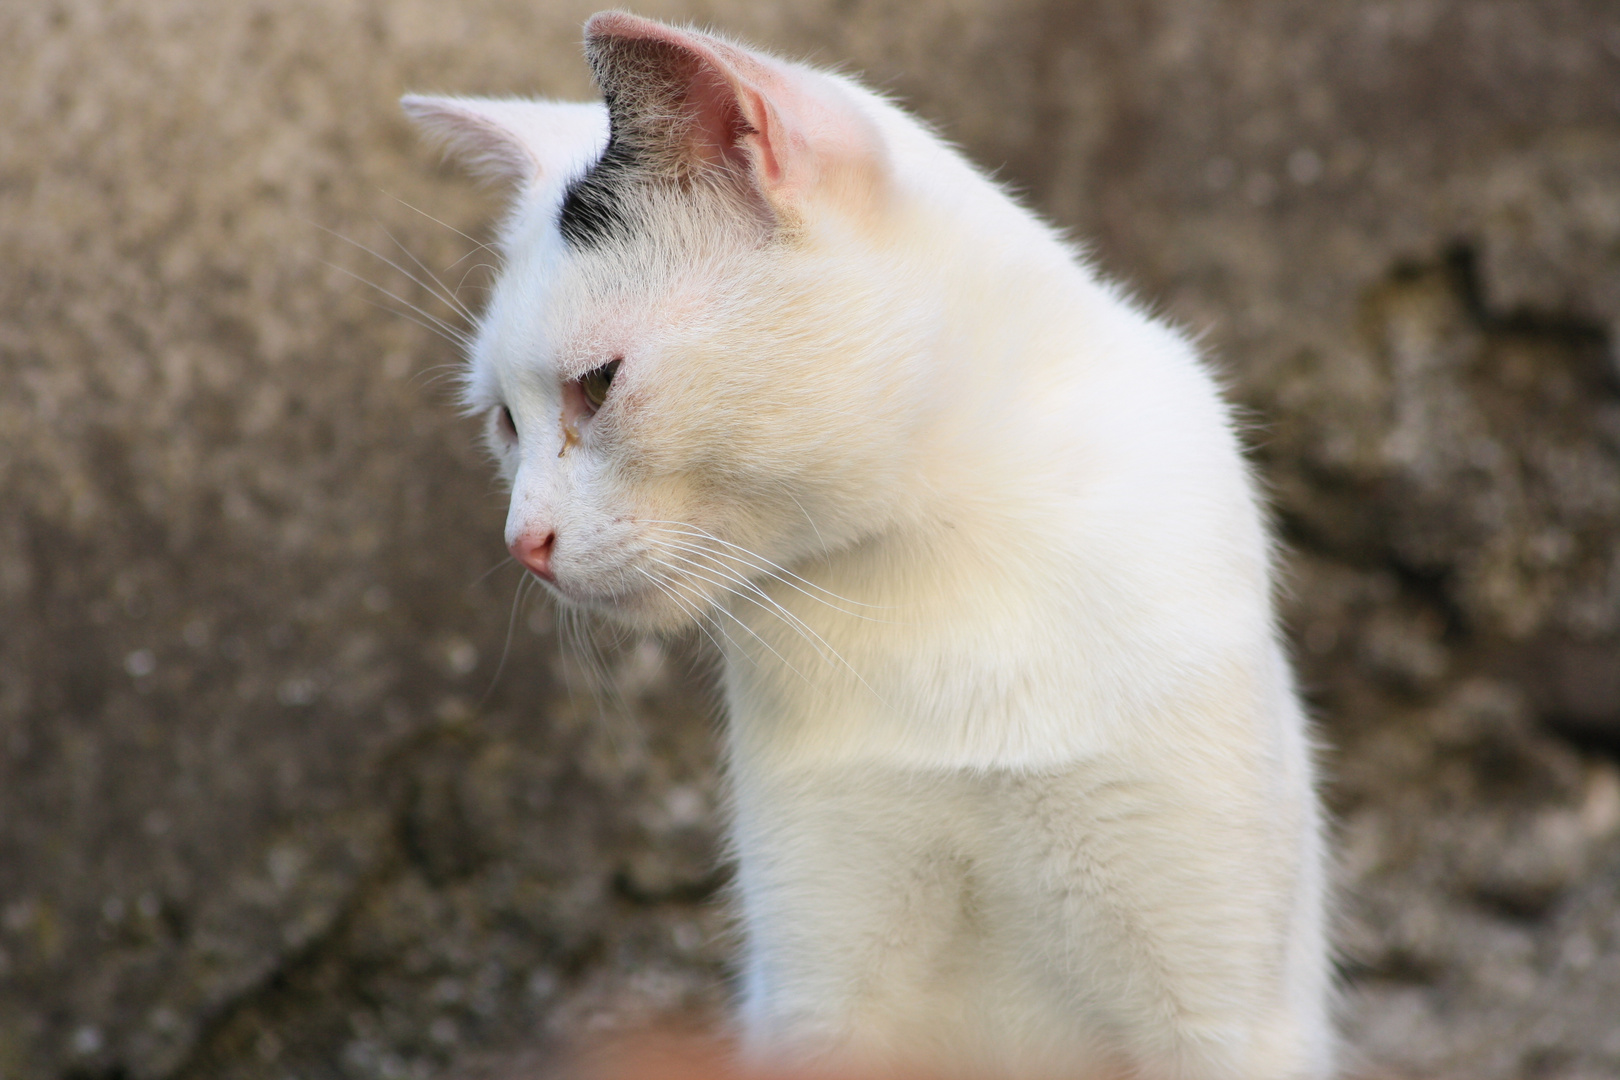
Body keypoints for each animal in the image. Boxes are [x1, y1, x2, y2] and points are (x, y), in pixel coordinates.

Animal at [401, 10, 1328, 1080]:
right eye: (503, 423)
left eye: (597, 383)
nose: (524, 541)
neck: (940, 573)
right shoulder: (817, 989)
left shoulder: (1222, 1013)